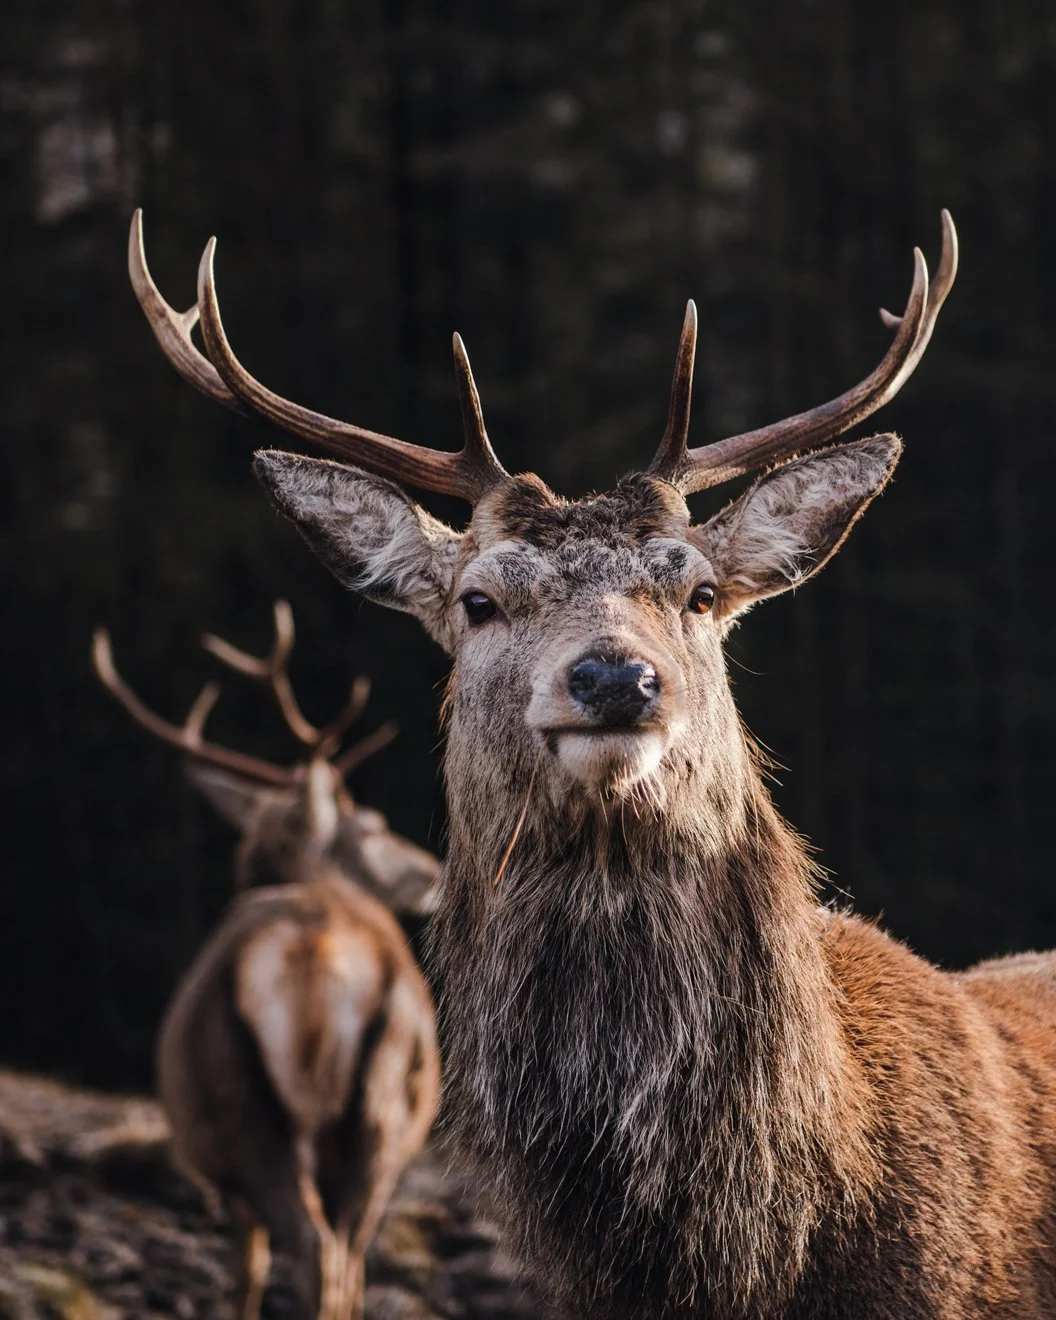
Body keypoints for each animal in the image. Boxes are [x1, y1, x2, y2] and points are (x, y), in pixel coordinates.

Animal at [92, 603, 440, 1320]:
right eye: (370, 826)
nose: (433, 870)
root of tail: (318, 963)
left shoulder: (220, 1168)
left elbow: (245, 1268)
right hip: (377, 1114)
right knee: (339, 1253)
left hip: (251, 1108)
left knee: (316, 1249)